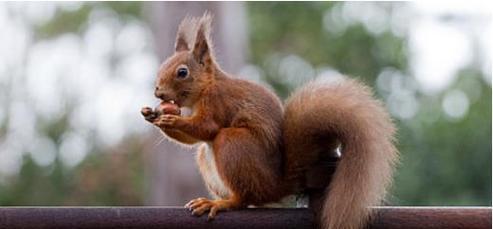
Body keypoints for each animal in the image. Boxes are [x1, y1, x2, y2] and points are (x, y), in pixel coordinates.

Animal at [140, 13, 398, 229]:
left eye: (182, 72)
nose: (158, 92)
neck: (207, 87)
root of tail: (276, 185)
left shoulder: (217, 102)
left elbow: (207, 128)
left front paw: (171, 120)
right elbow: (192, 140)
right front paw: (151, 115)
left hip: (234, 144)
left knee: (244, 197)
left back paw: (221, 203)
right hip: (210, 158)